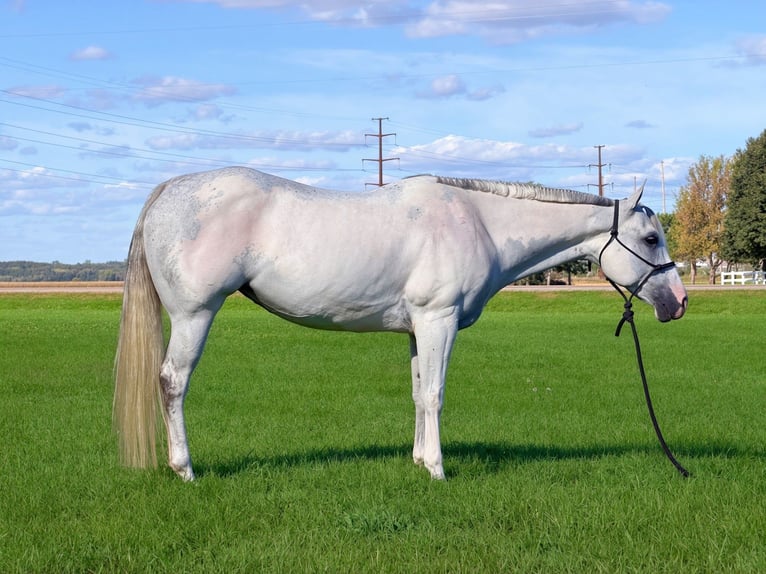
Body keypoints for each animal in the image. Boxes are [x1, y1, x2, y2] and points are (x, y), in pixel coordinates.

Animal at [114, 166, 687, 481]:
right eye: (651, 239)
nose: (678, 302)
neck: (479, 221)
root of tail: (171, 189)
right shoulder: (439, 320)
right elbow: (434, 394)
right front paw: (436, 468)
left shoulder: (416, 329)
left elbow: (416, 394)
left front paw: (415, 460)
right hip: (195, 315)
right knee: (172, 383)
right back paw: (185, 469)